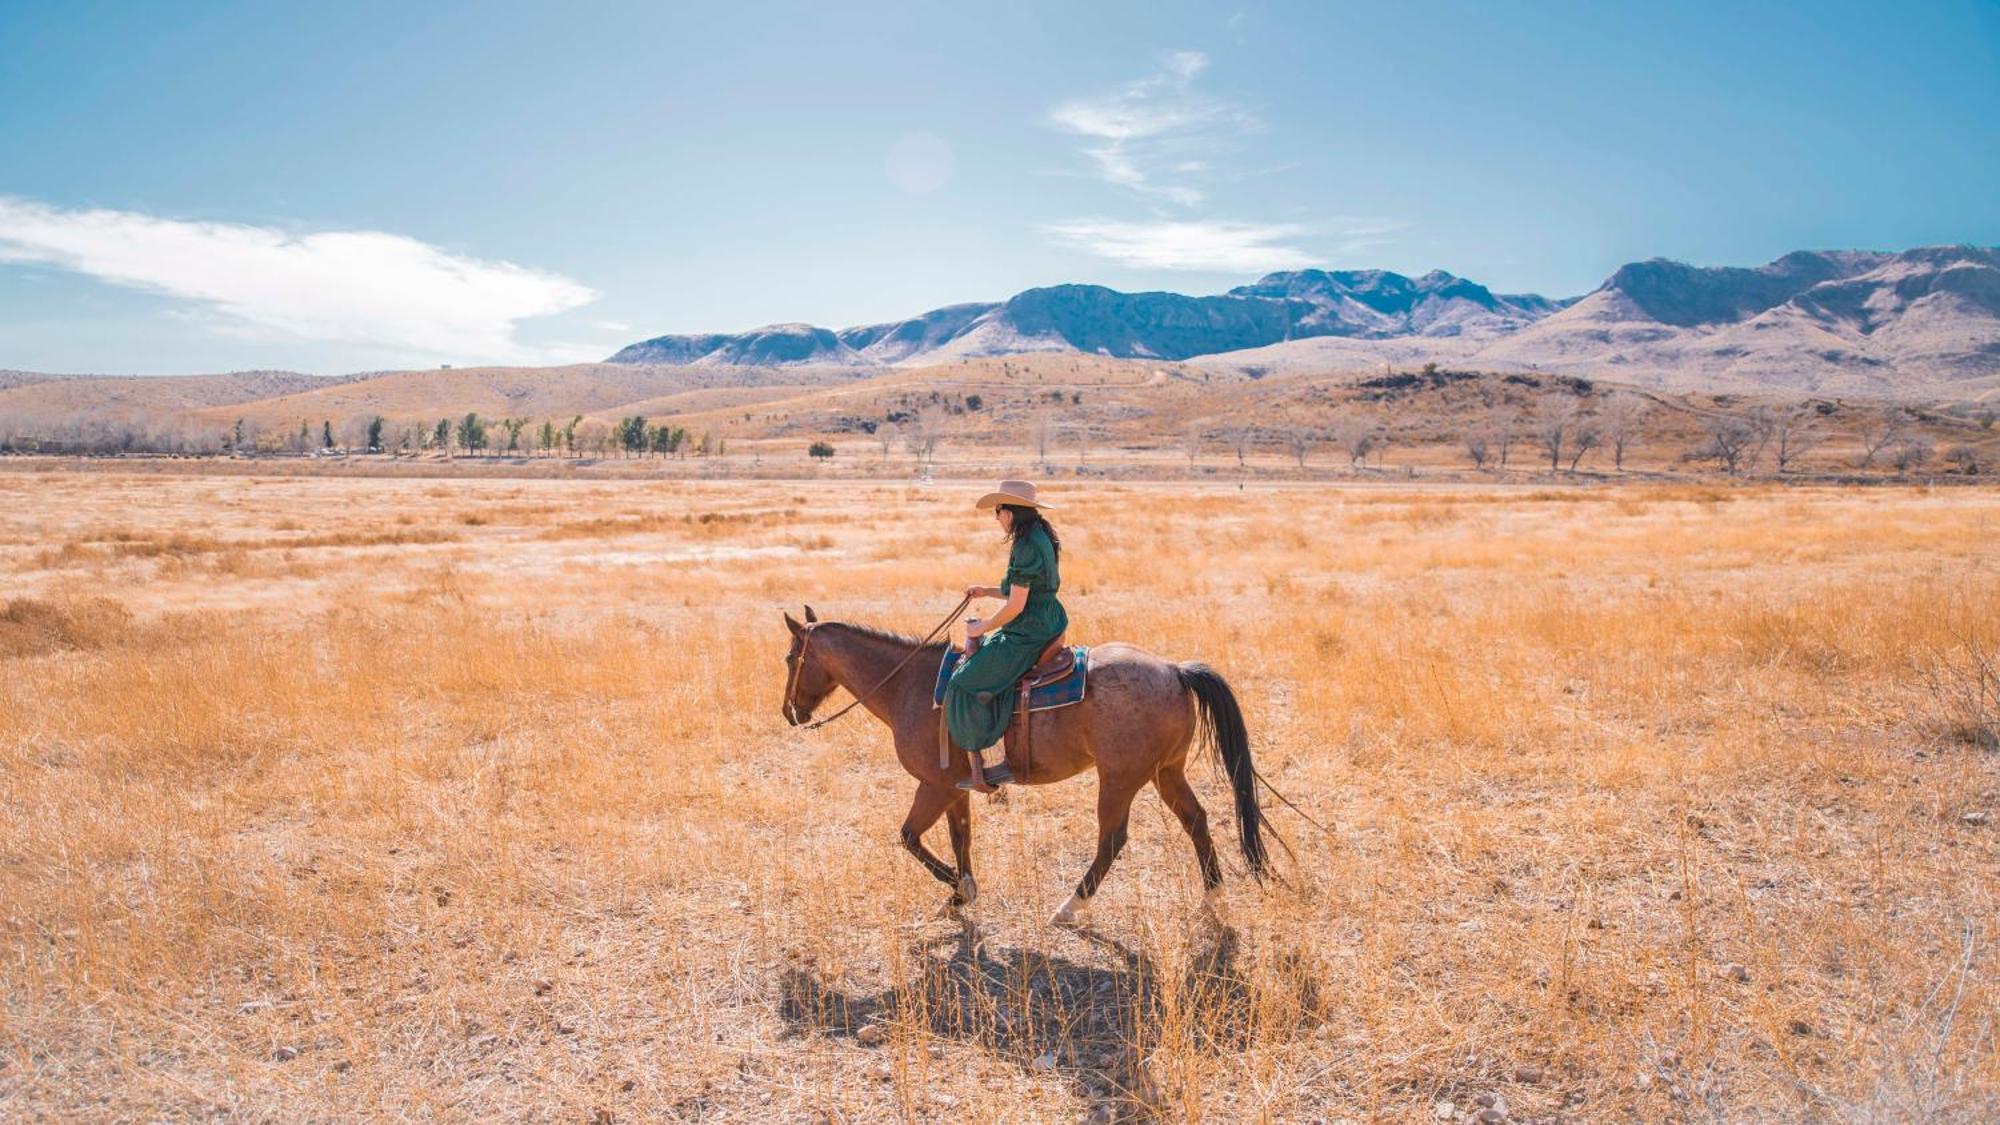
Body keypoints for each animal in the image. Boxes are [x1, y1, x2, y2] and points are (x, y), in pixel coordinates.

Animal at [780, 604, 1264, 920]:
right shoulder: (956, 788)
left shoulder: (933, 786)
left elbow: (909, 838)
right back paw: (1213, 897)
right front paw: (963, 892)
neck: (909, 686)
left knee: (1112, 839)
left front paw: (957, 888)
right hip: (1166, 772)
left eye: (789, 658)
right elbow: (960, 838)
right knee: (1196, 820)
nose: (789, 713)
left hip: (1120, 779)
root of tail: (1174, 670)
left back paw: (1069, 907)